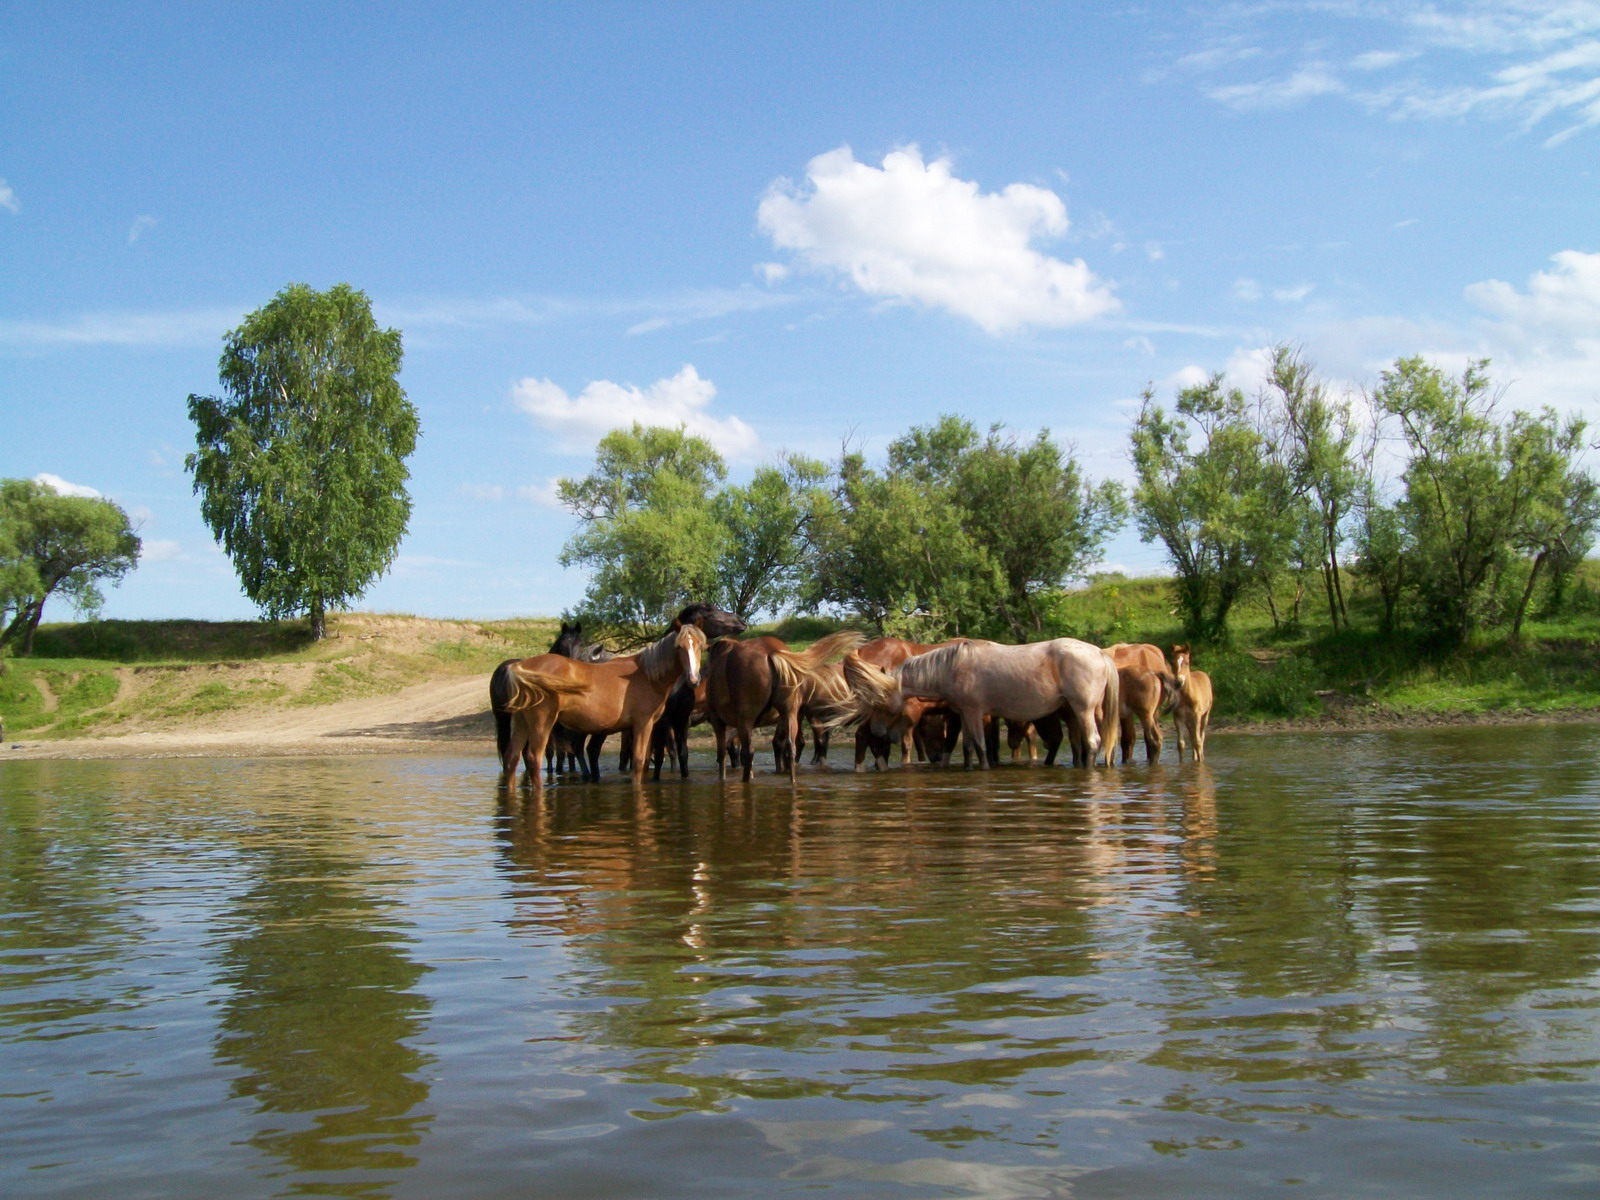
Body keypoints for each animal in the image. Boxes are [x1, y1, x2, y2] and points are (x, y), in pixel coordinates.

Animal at [496, 620, 704, 790]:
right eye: (680, 647)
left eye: (700, 646)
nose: (694, 679)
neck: (647, 675)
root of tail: (520, 667)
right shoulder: (642, 724)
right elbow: (638, 762)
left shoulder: (652, 726)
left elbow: (646, 762)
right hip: (542, 724)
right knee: (534, 759)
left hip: (522, 723)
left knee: (511, 758)